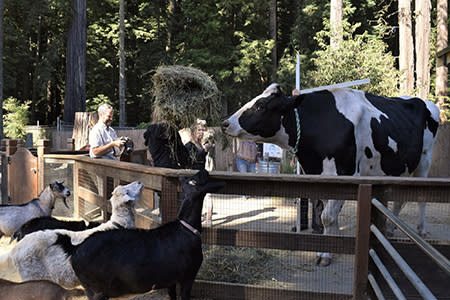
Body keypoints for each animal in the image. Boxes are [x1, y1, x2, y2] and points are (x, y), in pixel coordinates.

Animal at [56, 169, 225, 300]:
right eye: (194, 182)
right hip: (97, 290)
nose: (204, 170)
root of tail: (74, 249)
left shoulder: (171, 280)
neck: (186, 228)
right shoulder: (187, 277)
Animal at [221, 82, 440, 264]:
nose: (225, 123)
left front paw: (325, 254)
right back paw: (392, 228)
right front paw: (334, 245)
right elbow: (328, 214)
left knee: (421, 198)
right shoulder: (322, 176)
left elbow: (327, 216)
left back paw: (421, 231)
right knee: (400, 199)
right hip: (399, 165)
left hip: (424, 160)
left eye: (261, 106)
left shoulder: (344, 173)